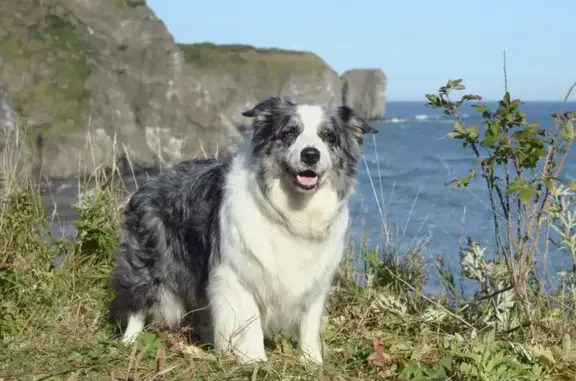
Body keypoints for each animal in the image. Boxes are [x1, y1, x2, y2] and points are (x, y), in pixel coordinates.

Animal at [108, 95, 378, 362]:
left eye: (329, 136)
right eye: (289, 132)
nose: (310, 154)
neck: (292, 210)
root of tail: (148, 183)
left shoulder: (314, 282)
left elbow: (309, 326)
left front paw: (312, 362)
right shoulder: (236, 276)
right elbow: (250, 322)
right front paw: (255, 361)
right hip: (151, 260)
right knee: (139, 302)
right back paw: (129, 341)